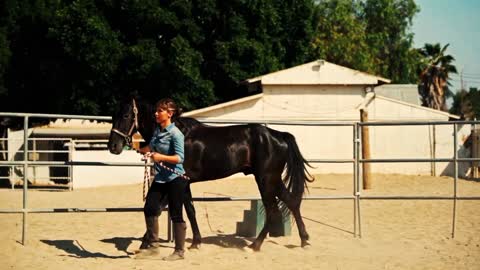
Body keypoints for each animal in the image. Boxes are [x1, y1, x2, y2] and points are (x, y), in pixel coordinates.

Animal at [107, 97, 314, 251]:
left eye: (126, 115)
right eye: (113, 115)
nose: (113, 146)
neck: (179, 136)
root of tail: (279, 135)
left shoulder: (181, 182)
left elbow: (180, 210)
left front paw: (191, 243)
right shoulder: (180, 183)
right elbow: (171, 209)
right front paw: (192, 242)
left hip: (266, 179)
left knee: (272, 210)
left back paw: (255, 245)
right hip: (273, 179)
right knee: (292, 201)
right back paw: (304, 240)